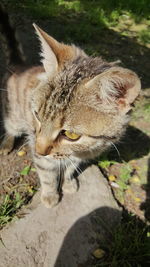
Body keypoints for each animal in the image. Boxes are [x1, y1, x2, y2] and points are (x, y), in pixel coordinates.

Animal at [0, 6, 141, 208]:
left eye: (71, 135)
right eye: (37, 116)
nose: (38, 149)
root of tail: (20, 66)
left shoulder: (77, 156)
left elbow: (69, 169)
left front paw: (68, 183)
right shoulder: (43, 157)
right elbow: (48, 176)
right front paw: (50, 195)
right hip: (14, 117)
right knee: (10, 128)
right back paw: (7, 143)